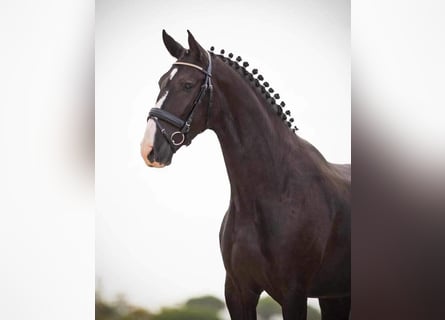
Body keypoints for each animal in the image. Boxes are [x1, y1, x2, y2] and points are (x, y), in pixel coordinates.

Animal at [140, 30, 348, 320]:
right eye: (161, 82)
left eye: (187, 85)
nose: (148, 148)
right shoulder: (238, 292)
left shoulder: (293, 295)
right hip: (334, 297)